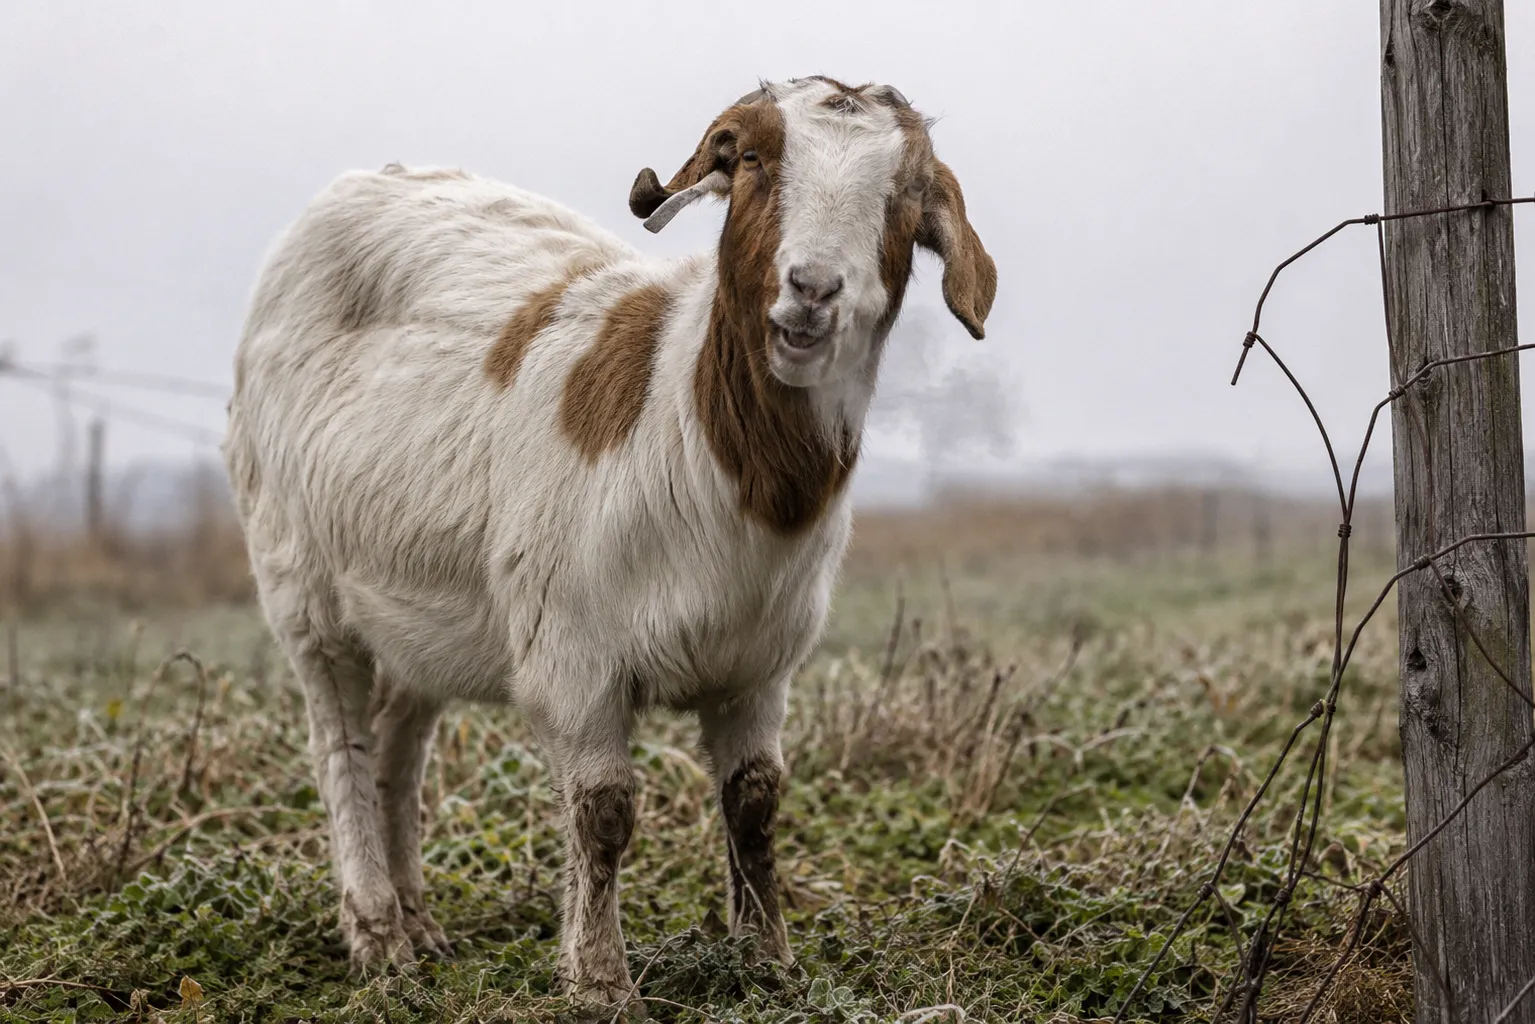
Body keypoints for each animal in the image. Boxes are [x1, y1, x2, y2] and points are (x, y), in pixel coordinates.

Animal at [224, 75, 995, 1011]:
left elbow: (754, 801)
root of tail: (358, 185)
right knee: (340, 743)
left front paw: (766, 962)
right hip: (300, 582)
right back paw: (378, 939)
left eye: (907, 197)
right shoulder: (573, 655)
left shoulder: (756, 667)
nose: (813, 289)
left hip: (418, 607)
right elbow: (603, 811)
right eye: (750, 161)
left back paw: (419, 925)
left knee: (398, 746)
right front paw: (598, 980)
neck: (698, 439)